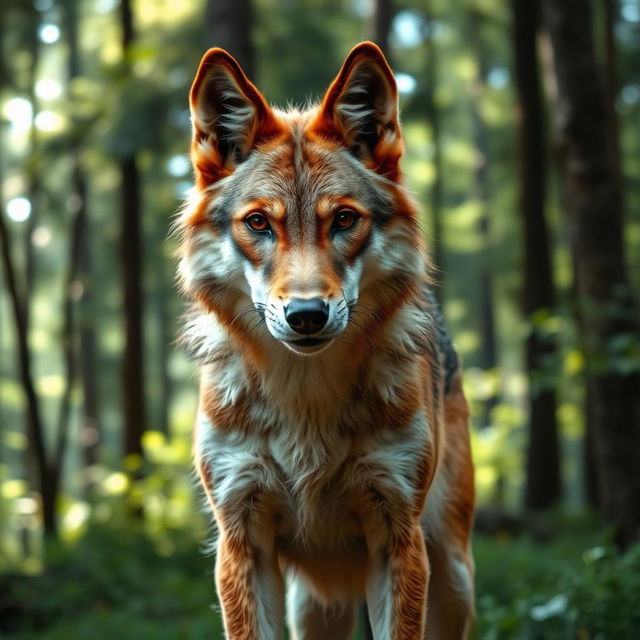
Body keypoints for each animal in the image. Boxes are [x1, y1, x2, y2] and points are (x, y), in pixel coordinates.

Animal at [176, 42, 476, 636]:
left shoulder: (397, 541)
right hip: (315, 601)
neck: (305, 395)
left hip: (452, 576)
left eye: (342, 220)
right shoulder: (242, 543)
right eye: (259, 224)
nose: (307, 315)